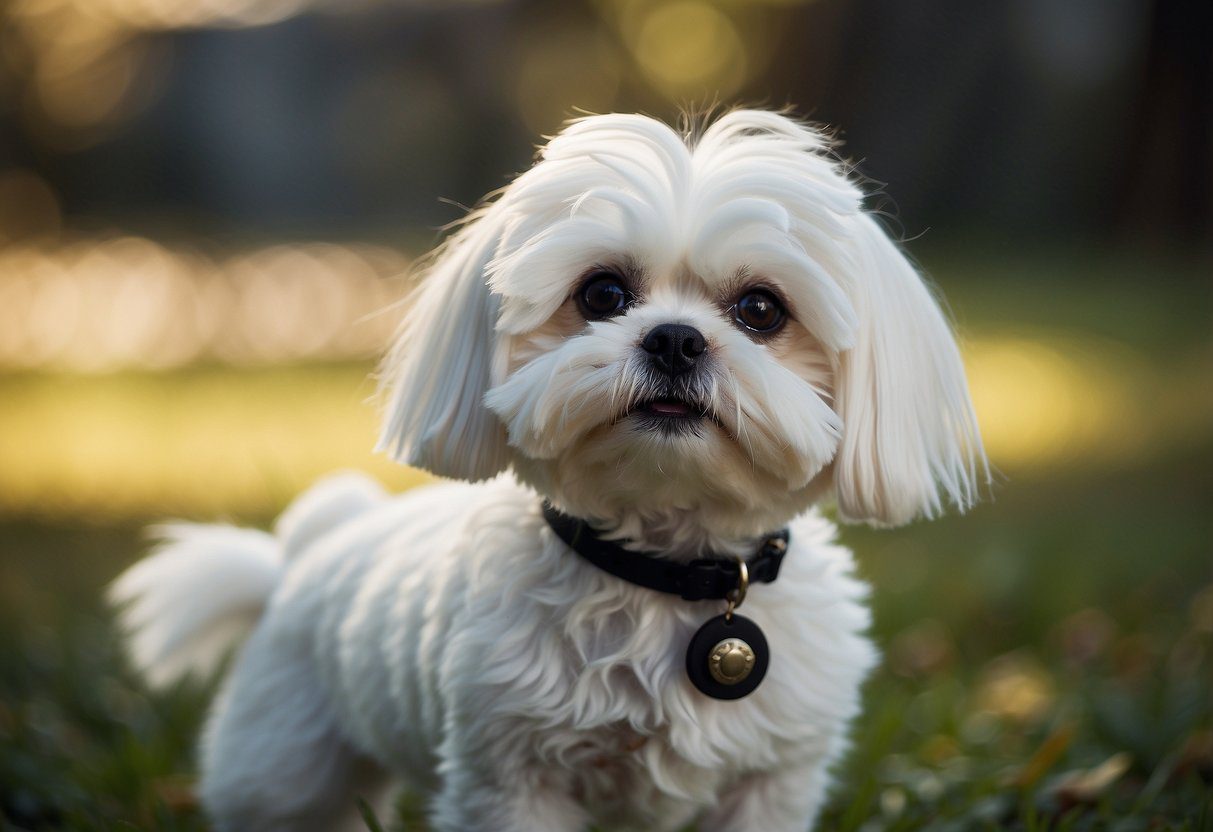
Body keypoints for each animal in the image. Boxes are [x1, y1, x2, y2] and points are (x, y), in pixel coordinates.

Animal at [111, 110, 984, 832]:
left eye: (761, 309)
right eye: (600, 293)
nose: (673, 339)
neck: (665, 576)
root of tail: (298, 560)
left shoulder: (772, 783)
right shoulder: (509, 777)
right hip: (284, 771)